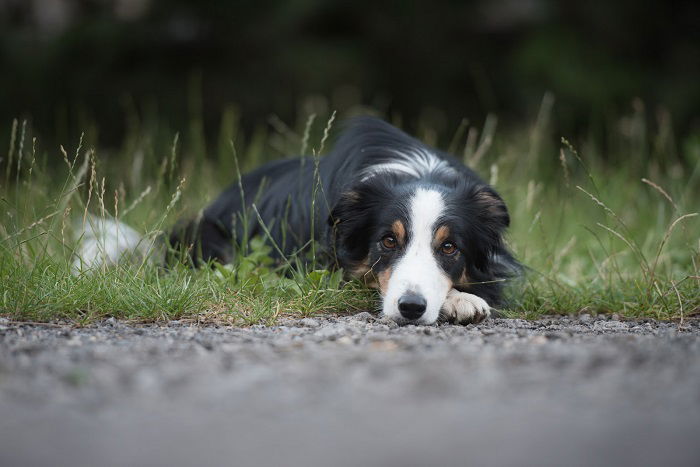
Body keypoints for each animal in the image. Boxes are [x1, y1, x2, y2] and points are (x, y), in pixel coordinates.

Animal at [78, 118, 520, 326]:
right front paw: (460, 300)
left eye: (449, 247)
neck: (416, 171)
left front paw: (462, 298)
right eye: (388, 242)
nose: (411, 308)